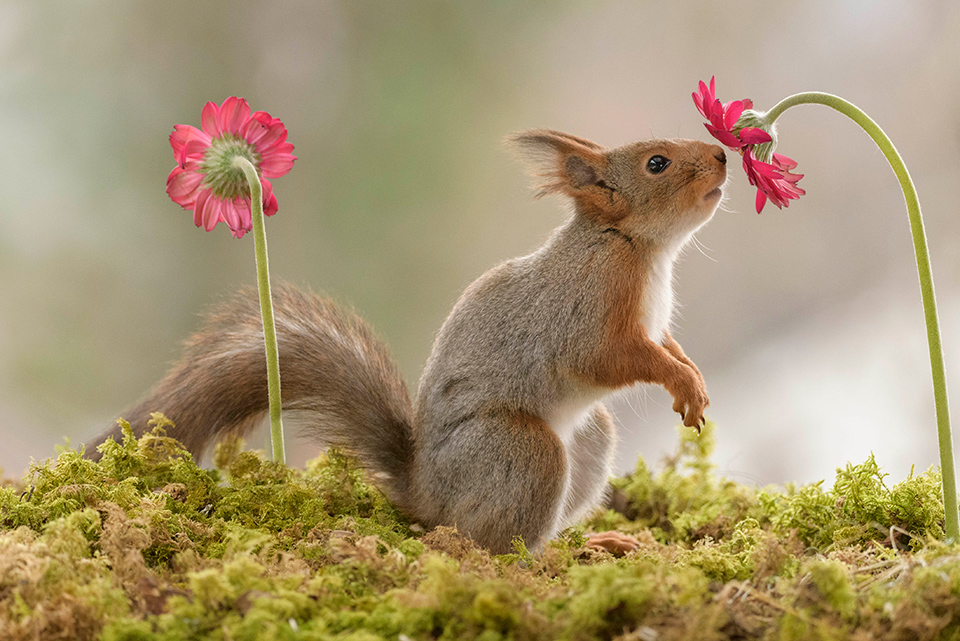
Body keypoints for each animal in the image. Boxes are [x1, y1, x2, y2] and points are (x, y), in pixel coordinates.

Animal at [95, 131, 728, 556]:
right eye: (657, 163)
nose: (724, 155)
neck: (634, 245)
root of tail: (424, 493)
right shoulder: (588, 313)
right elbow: (612, 357)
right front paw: (682, 383)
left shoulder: (654, 326)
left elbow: (668, 346)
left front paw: (693, 376)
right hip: (522, 449)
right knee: (484, 542)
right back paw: (540, 561)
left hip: (590, 438)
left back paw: (596, 542)